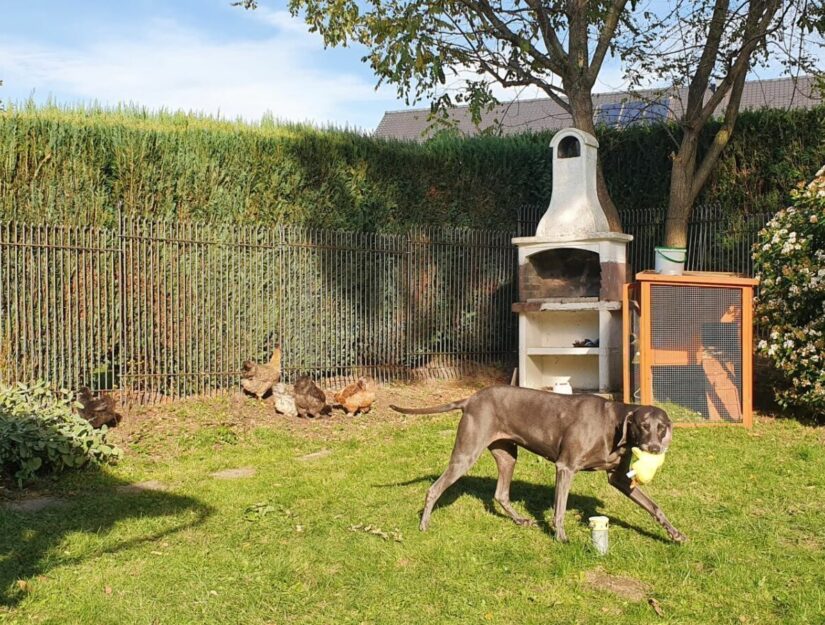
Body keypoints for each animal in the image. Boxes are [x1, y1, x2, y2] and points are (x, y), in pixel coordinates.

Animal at [390, 386, 684, 540]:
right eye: (643, 426)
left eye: (661, 428)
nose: (654, 448)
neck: (613, 423)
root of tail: (471, 398)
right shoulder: (565, 467)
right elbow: (560, 509)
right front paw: (561, 537)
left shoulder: (619, 478)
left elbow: (654, 507)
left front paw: (674, 533)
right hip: (466, 454)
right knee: (434, 489)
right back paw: (424, 525)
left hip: (507, 455)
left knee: (500, 494)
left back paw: (520, 520)